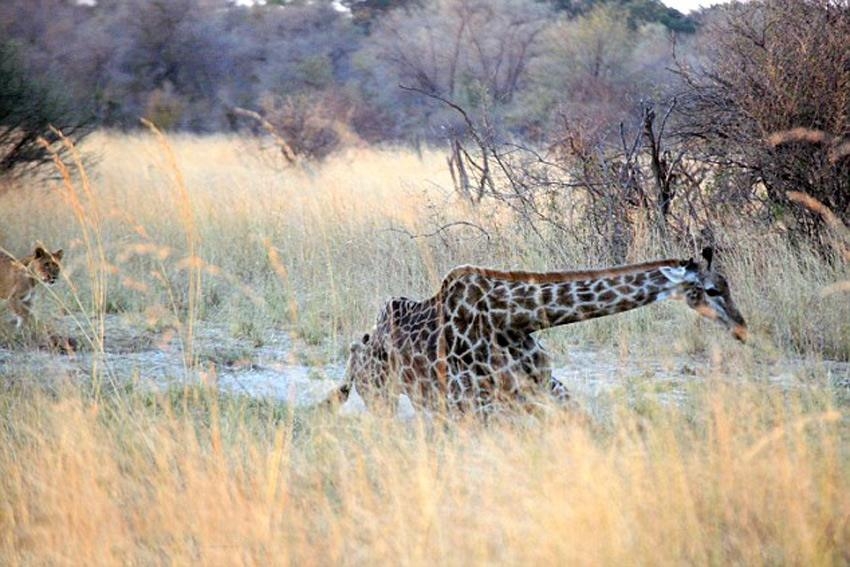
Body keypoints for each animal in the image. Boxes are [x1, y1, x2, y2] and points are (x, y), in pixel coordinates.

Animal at [322, 248, 744, 418]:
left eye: (727, 284)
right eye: (711, 289)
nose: (741, 327)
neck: (511, 319)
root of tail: (357, 350)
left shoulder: (545, 389)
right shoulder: (475, 407)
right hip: (382, 396)